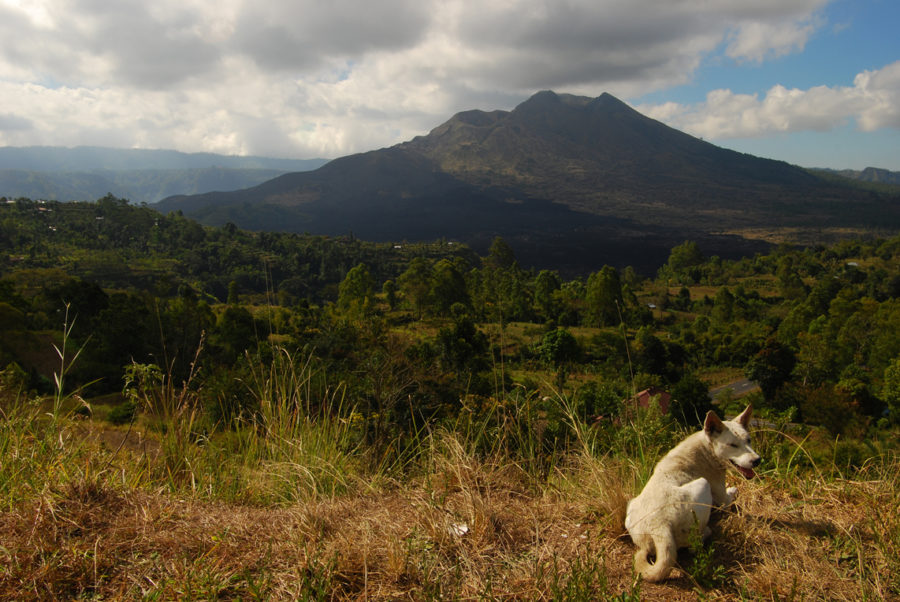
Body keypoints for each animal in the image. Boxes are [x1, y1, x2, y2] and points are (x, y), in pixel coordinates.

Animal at [624, 406, 760, 580]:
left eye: (748, 440)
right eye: (732, 445)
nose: (757, 460)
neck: (707, 449)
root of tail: (659, 528)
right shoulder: (720, 495)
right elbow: (728, 498)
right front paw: (733, 489)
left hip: (631, 507)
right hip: (703, 484)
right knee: (693, 545)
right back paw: (707, 532)